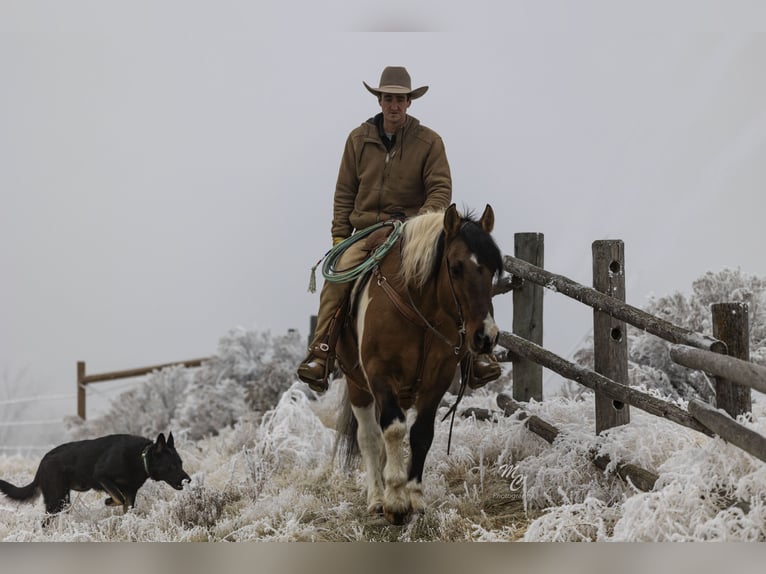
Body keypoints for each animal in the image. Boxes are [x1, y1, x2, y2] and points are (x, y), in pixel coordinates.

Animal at [336, 204, 504, 528]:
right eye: (456, 267)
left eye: (493, 270)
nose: (486, 337)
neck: (419, 312)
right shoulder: (379, 374)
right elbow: (393, 430)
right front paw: (395, 501)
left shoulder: (437, 381)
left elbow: (421, 434)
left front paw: (414, 498)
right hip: (357, 385)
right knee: (369, 438)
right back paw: (377, 499)